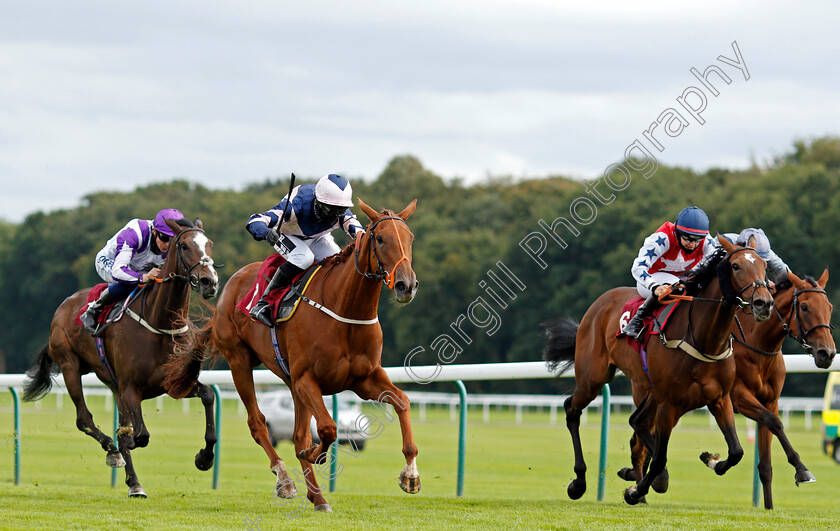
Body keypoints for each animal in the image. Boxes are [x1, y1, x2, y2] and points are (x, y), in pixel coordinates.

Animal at [22, 217, 220, 498]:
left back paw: (135, 483)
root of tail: (64, 305)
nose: (208, 282)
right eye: (183, 245)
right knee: (84, 419)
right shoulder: (130, 388)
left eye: (209, 244)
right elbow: (140, 435)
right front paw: (126, 440)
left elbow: (208, 395)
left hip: (111, 384)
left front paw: (204, 457)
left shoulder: (173, 383)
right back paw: (113, 452)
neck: (159, 322)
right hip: (71, 367)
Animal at [164, 197, 420, 512]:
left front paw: (410, 475)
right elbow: (327, 429)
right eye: (381, 238)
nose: (406, 285)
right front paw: (316, 454)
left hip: (289, 379)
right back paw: (285, 480)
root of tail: (229, 287)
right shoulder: (307, 379)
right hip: (240, 362)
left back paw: (318, 497)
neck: (346, 312)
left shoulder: (364, 379)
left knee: (298, 434)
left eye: (410, 238)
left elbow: (402, 402)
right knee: (258, 423)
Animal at [544, 238, 776, 508]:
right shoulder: (669, 403)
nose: (764, 302)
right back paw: (579, 482)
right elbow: (660, 459)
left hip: (651, 391)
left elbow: (736, 451)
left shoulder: (719, 398)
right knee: (572, 410)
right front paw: (635, 491)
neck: (703, 338)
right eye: (736, 266)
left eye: (763, 265)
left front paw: (712, 459)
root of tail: (600, 302)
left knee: (637, 421)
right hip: (594, 378)